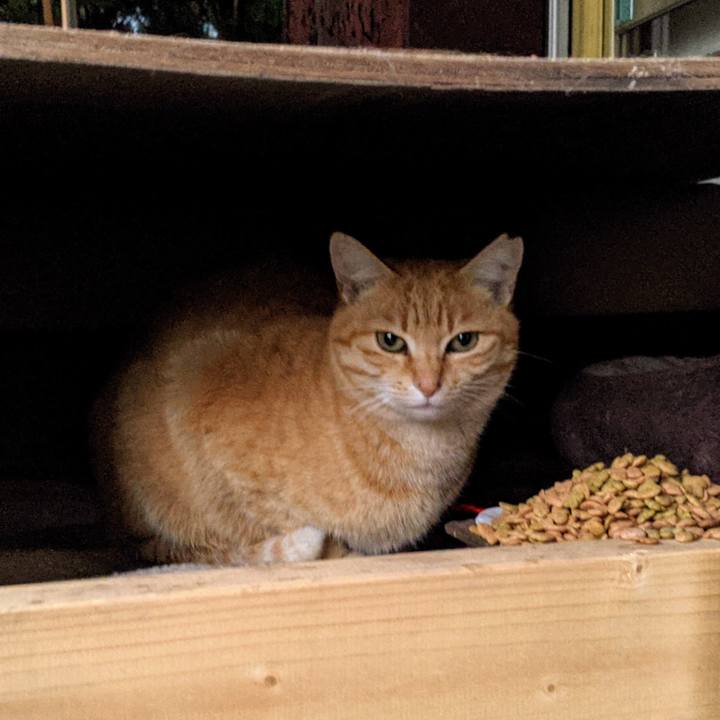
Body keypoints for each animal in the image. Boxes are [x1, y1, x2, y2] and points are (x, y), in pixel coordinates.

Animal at [92, 231, 523, 566]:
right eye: (390, 341)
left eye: (464, 341)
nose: (429, 385)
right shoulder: (196, 396)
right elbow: (268, 528)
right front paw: (338, 554)